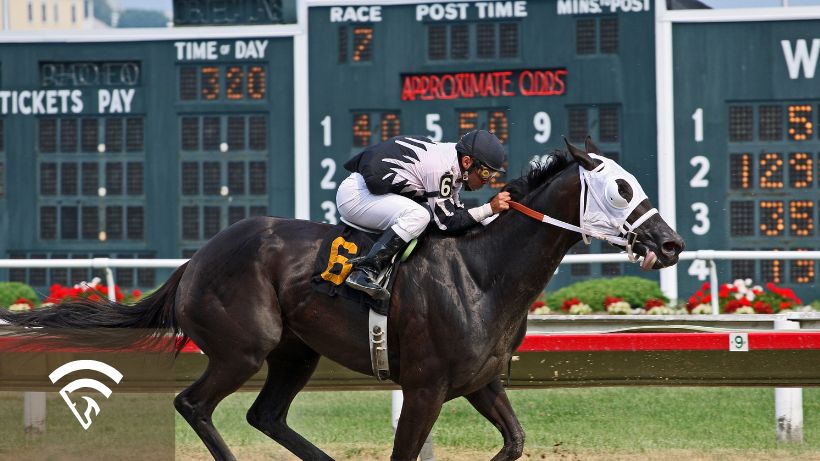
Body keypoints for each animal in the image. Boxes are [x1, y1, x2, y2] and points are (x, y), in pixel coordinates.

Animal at [0, 137, 684, 461]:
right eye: (622, 189)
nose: (670, 242)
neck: (482, 273)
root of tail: (195, 260)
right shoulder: (426, 386)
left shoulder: (480, 381)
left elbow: (514, 441)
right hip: (244, 348)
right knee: (194, 405)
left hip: (296, 352)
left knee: (266, 416)